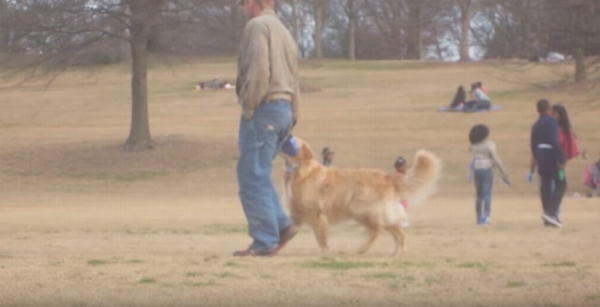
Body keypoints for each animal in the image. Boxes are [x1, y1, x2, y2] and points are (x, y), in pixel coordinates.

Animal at [280, 138, 440, 258]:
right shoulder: (296, 215)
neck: (300, 169)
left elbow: (321, 237)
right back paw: (397, 253)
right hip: (381, 214)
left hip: (360, 210)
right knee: (398, 232)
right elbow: (285, 232)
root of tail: (387, 176)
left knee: (377, 230)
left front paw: (325, 253)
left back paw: (362, 249)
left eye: (292, 141)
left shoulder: (316, 215)